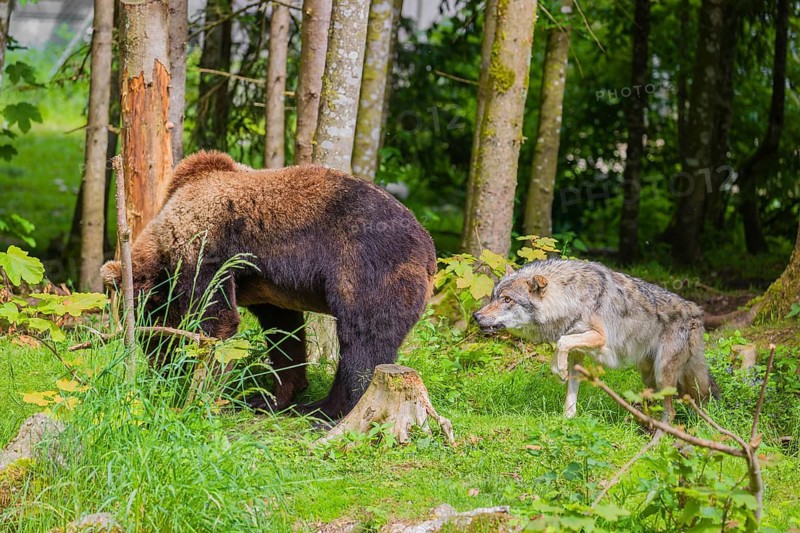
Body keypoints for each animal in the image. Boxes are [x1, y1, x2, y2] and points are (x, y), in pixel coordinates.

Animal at [100, 150, 437, 419]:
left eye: (149, 322)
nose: (162, 365)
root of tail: (429, 247)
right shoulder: (268, 289)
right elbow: (284, 334)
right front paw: (274, 396)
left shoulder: (208, 252)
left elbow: (217, 321)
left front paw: (198, 393)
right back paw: (315, 407)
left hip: (366, 265)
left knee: (364, 340)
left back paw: (339, 412)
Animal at [473, 259, 718, 419]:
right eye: (494, 297)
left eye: (507, 300)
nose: (476, 316)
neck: (570, 297)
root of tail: (697, 312)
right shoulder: (577, 352)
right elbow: (570, 389)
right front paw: (567, 420)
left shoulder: (599, 339)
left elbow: (561, 343)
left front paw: (557, 370)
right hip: (650, 376)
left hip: (663, 374)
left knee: (672, 410)